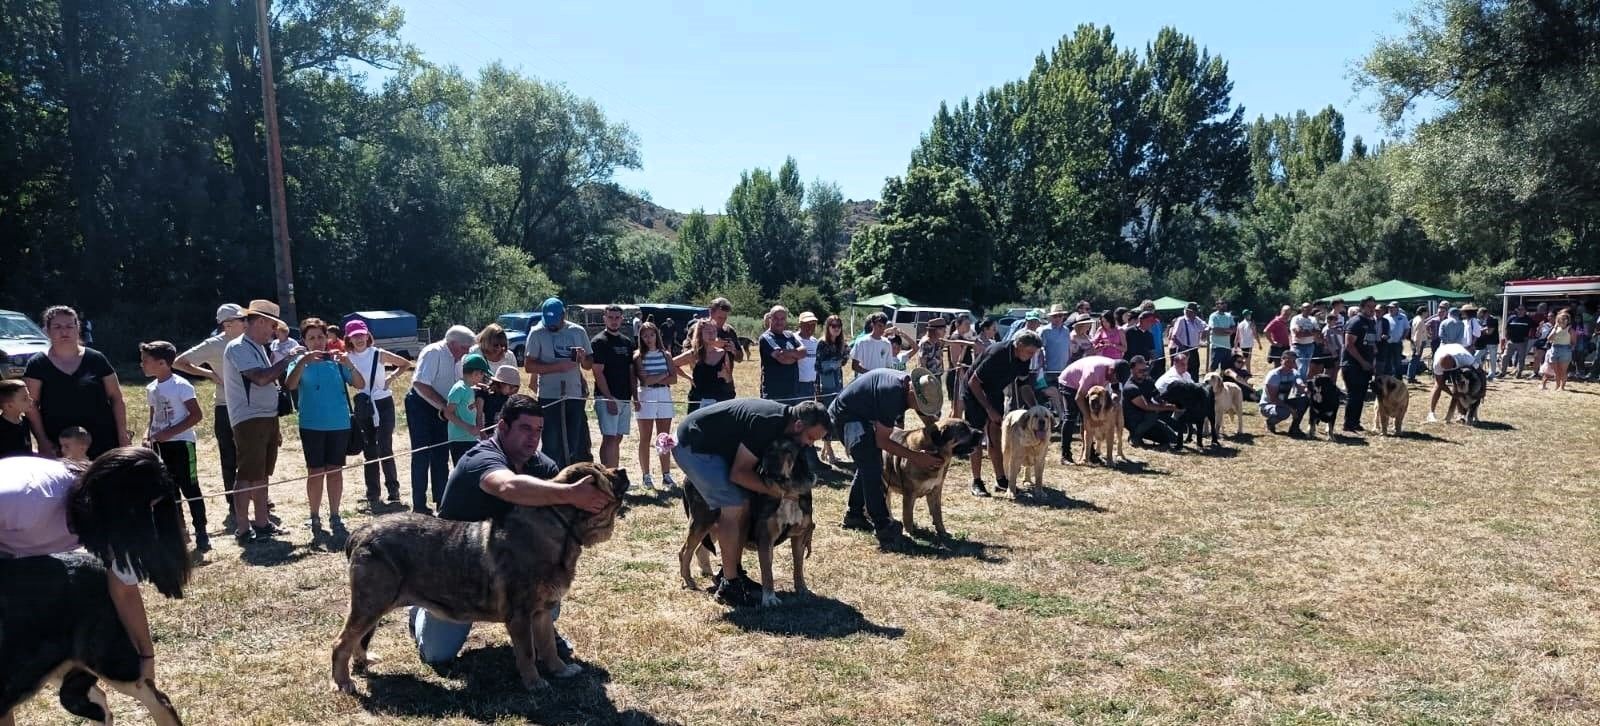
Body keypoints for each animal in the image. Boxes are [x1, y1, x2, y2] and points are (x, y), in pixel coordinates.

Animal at [331, 463, 624, 694]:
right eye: (603, 471)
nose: (621, 470)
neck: (562, 526)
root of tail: (361, 531)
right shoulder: (520, 616)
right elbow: (528, 652)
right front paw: (534, 683)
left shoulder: (541, 612)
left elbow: (548, 645)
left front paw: (560, 670)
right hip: (371, 603)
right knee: (341, 642)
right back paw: (343, 683)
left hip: (373, 606)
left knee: (357, 639)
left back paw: (363, 662)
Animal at [681, 438, 819, 607]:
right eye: (769, 448)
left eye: (788, 451)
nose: (768, 459)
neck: (788, 491)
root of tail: (687, 478)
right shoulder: (766, 537)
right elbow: (767, 571)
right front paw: (769, 598)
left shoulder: (799, 536)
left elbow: (798, 566)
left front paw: (802, 589)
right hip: (702, 521)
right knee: (685, 551)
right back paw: (689, 581)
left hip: (712, 525)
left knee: (700, 549)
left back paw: (710, 573)